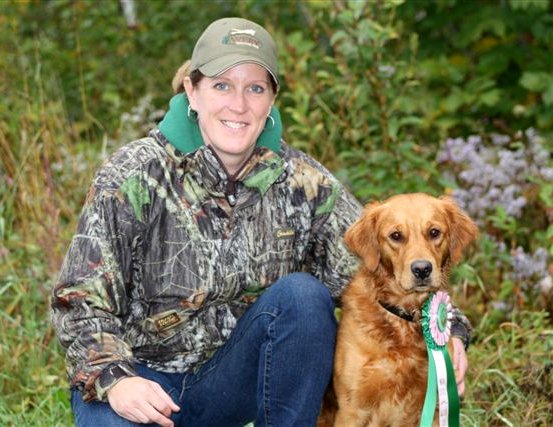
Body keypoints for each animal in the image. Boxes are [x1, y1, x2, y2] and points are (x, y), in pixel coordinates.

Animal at [320, 194, 478, 427]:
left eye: (434, 232)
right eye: (396, 236)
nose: (422, 269)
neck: (404, 318)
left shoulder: (435, 407)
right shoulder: (352, 409)